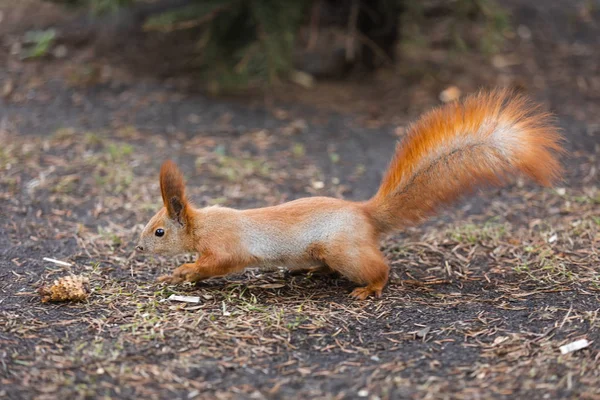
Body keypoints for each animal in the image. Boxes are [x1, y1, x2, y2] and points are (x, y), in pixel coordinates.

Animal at [136, 89, 564, 298]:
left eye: (159, 231)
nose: (138, 249)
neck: (202, 224)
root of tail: (365, 213)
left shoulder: (227, 246)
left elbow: (218, 263)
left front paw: (184, 271)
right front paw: (179, 276)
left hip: (343, 249)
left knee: (380, 268)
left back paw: (369, 288)